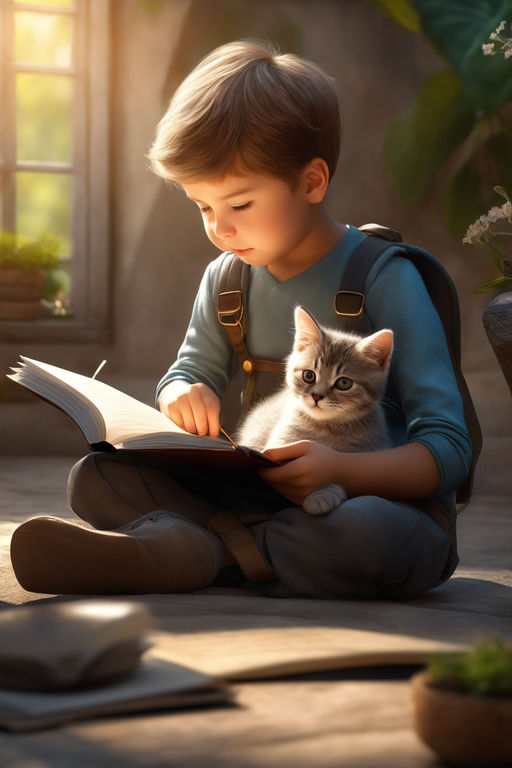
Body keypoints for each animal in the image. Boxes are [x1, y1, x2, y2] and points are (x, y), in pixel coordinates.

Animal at [236, 306, 392, 516]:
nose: (317, 396)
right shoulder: (277, 445)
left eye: (344, 383)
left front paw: (322, 494)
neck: (327, 427)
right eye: (308, 375)